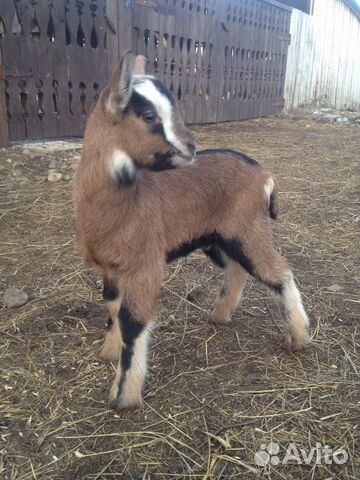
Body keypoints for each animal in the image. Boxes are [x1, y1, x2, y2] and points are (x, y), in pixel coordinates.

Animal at [73, 52, 310, 408]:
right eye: (148, 114)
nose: (191, 147)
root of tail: (265, 174)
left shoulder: (145, 265)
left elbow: (133, 320)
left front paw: (124, 395)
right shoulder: (111, 269)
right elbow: (112, 307)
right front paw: (108, 352)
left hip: (247, 230)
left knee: (278, 271)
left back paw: (299, 337)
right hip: (217, 239)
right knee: (237, 270)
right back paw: (220, 315)